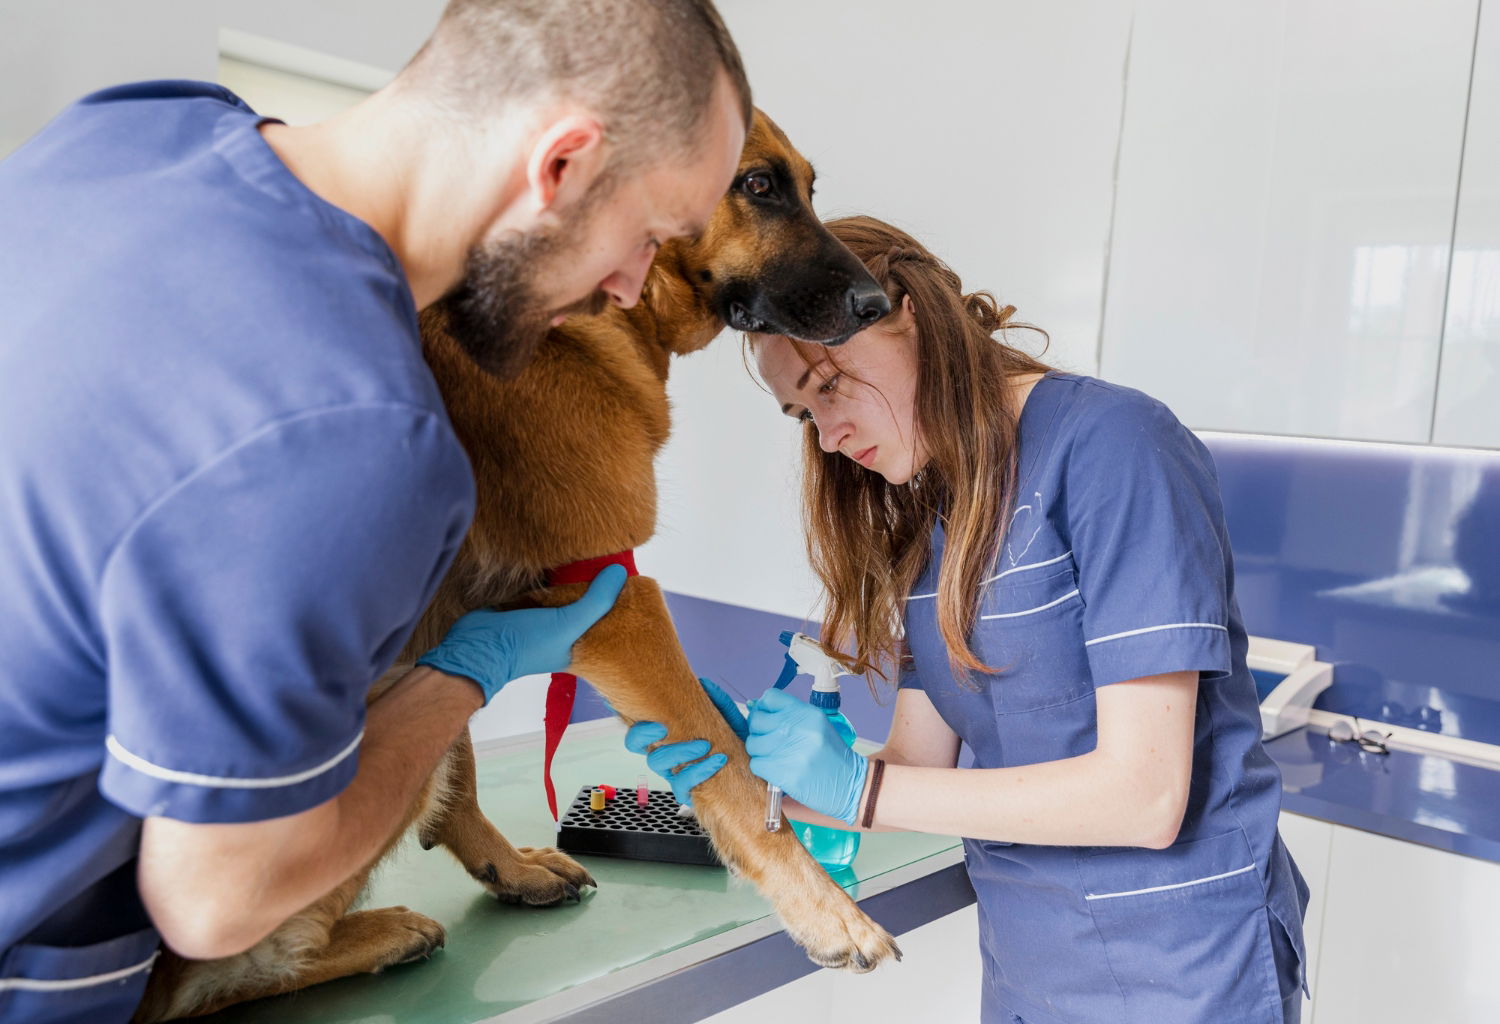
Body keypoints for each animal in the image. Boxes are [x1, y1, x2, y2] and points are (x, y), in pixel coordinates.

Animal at [132, 107, 900, 1019]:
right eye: (756, 185)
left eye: (808, 187)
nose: (880, 304)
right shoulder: (619, 598)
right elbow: (735, 774)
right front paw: (827, 909)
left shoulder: (476, 616)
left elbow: (463, 753)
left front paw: (504, 863)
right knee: (228, 976)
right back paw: (371, 937)